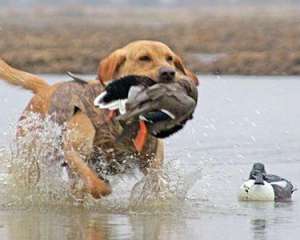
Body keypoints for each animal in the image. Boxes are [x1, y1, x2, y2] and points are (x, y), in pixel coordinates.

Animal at [0, 40, 199, 199]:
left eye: (170, 58)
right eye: (144, 58)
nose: (169, 73)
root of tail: (46, 88)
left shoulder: (152, 162)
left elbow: (156, 183)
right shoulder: (73, 150)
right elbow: (95, 182)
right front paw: (96, 189)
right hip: (31, 157)